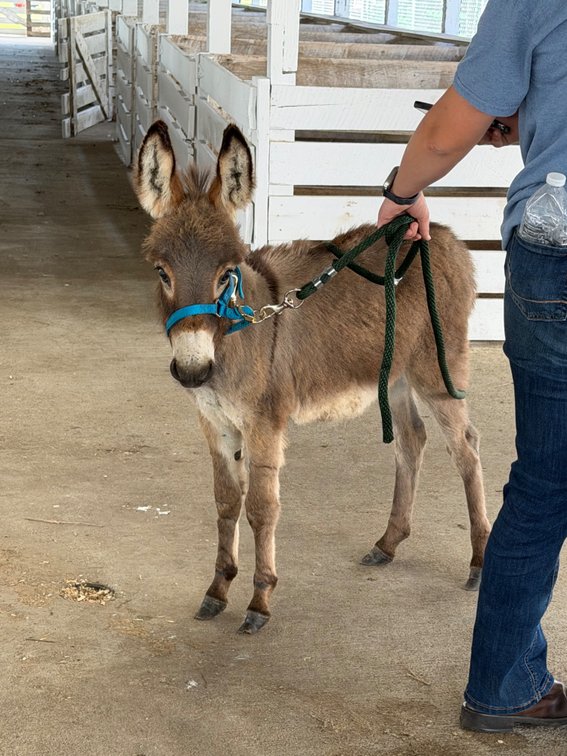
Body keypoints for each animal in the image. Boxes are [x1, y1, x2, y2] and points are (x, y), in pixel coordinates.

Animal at [134, 120, 491, 633]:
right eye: (162, 272)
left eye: (226, 274)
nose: (192, 370)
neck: (243, 327)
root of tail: (441, 235)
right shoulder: (215, 424)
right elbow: (225, 502)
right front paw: (217, 590)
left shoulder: (264, 424)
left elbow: (261, 508)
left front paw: (259, 601)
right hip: (396, 373)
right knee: (411, 440)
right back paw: (387, 543)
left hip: (437, 370)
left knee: (465, 447)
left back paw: (479, 560)